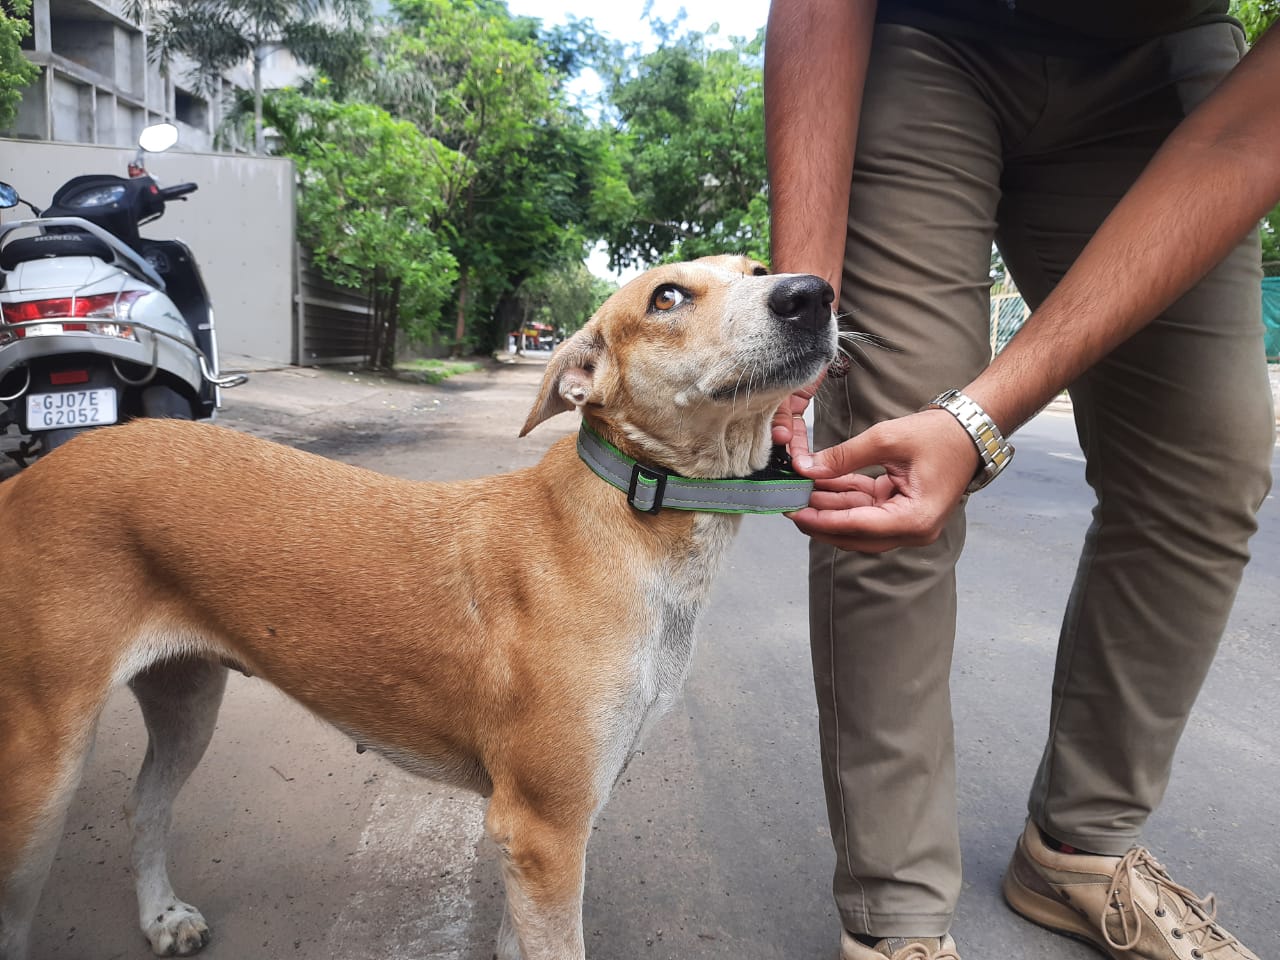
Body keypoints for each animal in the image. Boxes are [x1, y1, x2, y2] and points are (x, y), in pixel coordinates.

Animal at [0, 256, 834, 960]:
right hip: (42, 759)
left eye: (757, 268)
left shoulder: (551, 831)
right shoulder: (545, 830)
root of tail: (25, 481)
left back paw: (160, 916)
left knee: (144, 806)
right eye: (666, 297)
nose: (811, 293)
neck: (630, 517)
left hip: (186, 699)